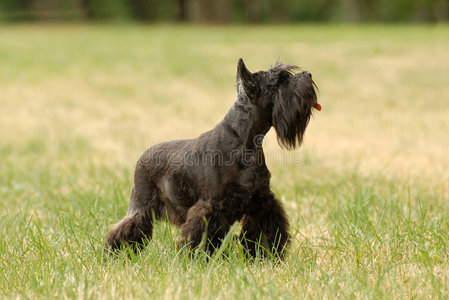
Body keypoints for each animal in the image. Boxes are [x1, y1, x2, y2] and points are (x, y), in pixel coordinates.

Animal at [105, 59, 318, 258]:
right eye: (280, 80)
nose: (309, 75)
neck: (244, 141)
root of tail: (143, 156)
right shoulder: (210, 207)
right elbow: (202, 235)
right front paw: (198, 257)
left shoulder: (261, 202)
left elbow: (265, 231)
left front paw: (266, 256)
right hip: (141, 204)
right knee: (125, 227)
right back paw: (116, 254)